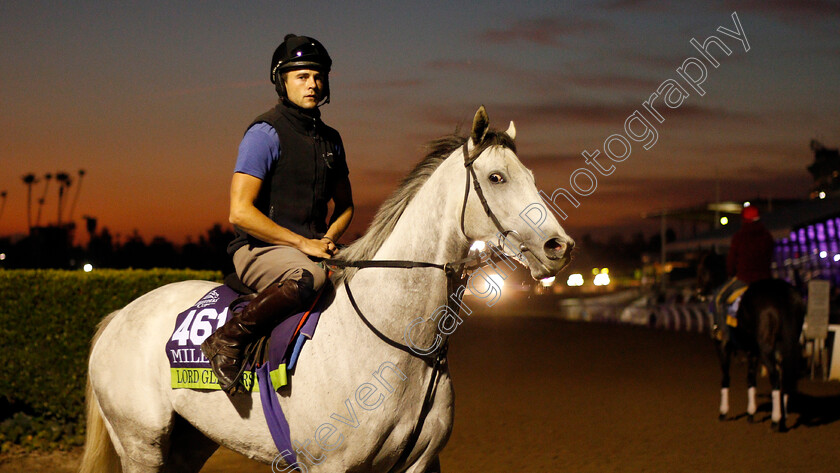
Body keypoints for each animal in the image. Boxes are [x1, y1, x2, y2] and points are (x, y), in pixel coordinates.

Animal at [696, 251, 808, 432]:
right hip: (787, 346)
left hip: (766, 348)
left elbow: (725, 377)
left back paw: (776, 420)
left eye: (702, 268)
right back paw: (783, 418)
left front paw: (723, 412)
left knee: (775, 377)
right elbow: (750, 379)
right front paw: (750, 413)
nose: (699, 292)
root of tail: (784, 294)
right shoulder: (752, 350)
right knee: (786, 376)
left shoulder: (723, 346)